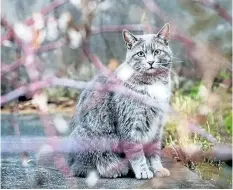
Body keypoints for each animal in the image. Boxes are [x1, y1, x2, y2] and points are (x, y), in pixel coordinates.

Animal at [68, 23, 172, 180]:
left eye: (157, 52)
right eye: (140, 54)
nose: (150, 62)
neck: (153, 83)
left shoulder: (157, 126)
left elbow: (154, 152)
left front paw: (158, 169)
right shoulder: (131, 125)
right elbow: (136, 153)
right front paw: (143, 170)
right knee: (87, 167)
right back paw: (114, 169)